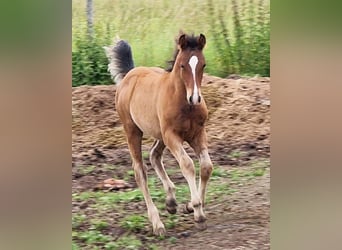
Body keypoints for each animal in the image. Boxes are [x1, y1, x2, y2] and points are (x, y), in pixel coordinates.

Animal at [103, 33, 214, 236]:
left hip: (159, 134)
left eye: (203, 65)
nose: (195, 98)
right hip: (133, 131)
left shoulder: (198, 133)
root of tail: (130, 74)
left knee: (154, 155)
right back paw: (157, 224)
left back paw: (171, 203)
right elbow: (187, 165)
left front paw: (191, 207)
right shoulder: (172, 136)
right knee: (140, 172)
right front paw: (197, 211)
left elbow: (206, 167)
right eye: (182, 65)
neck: (184, 103)